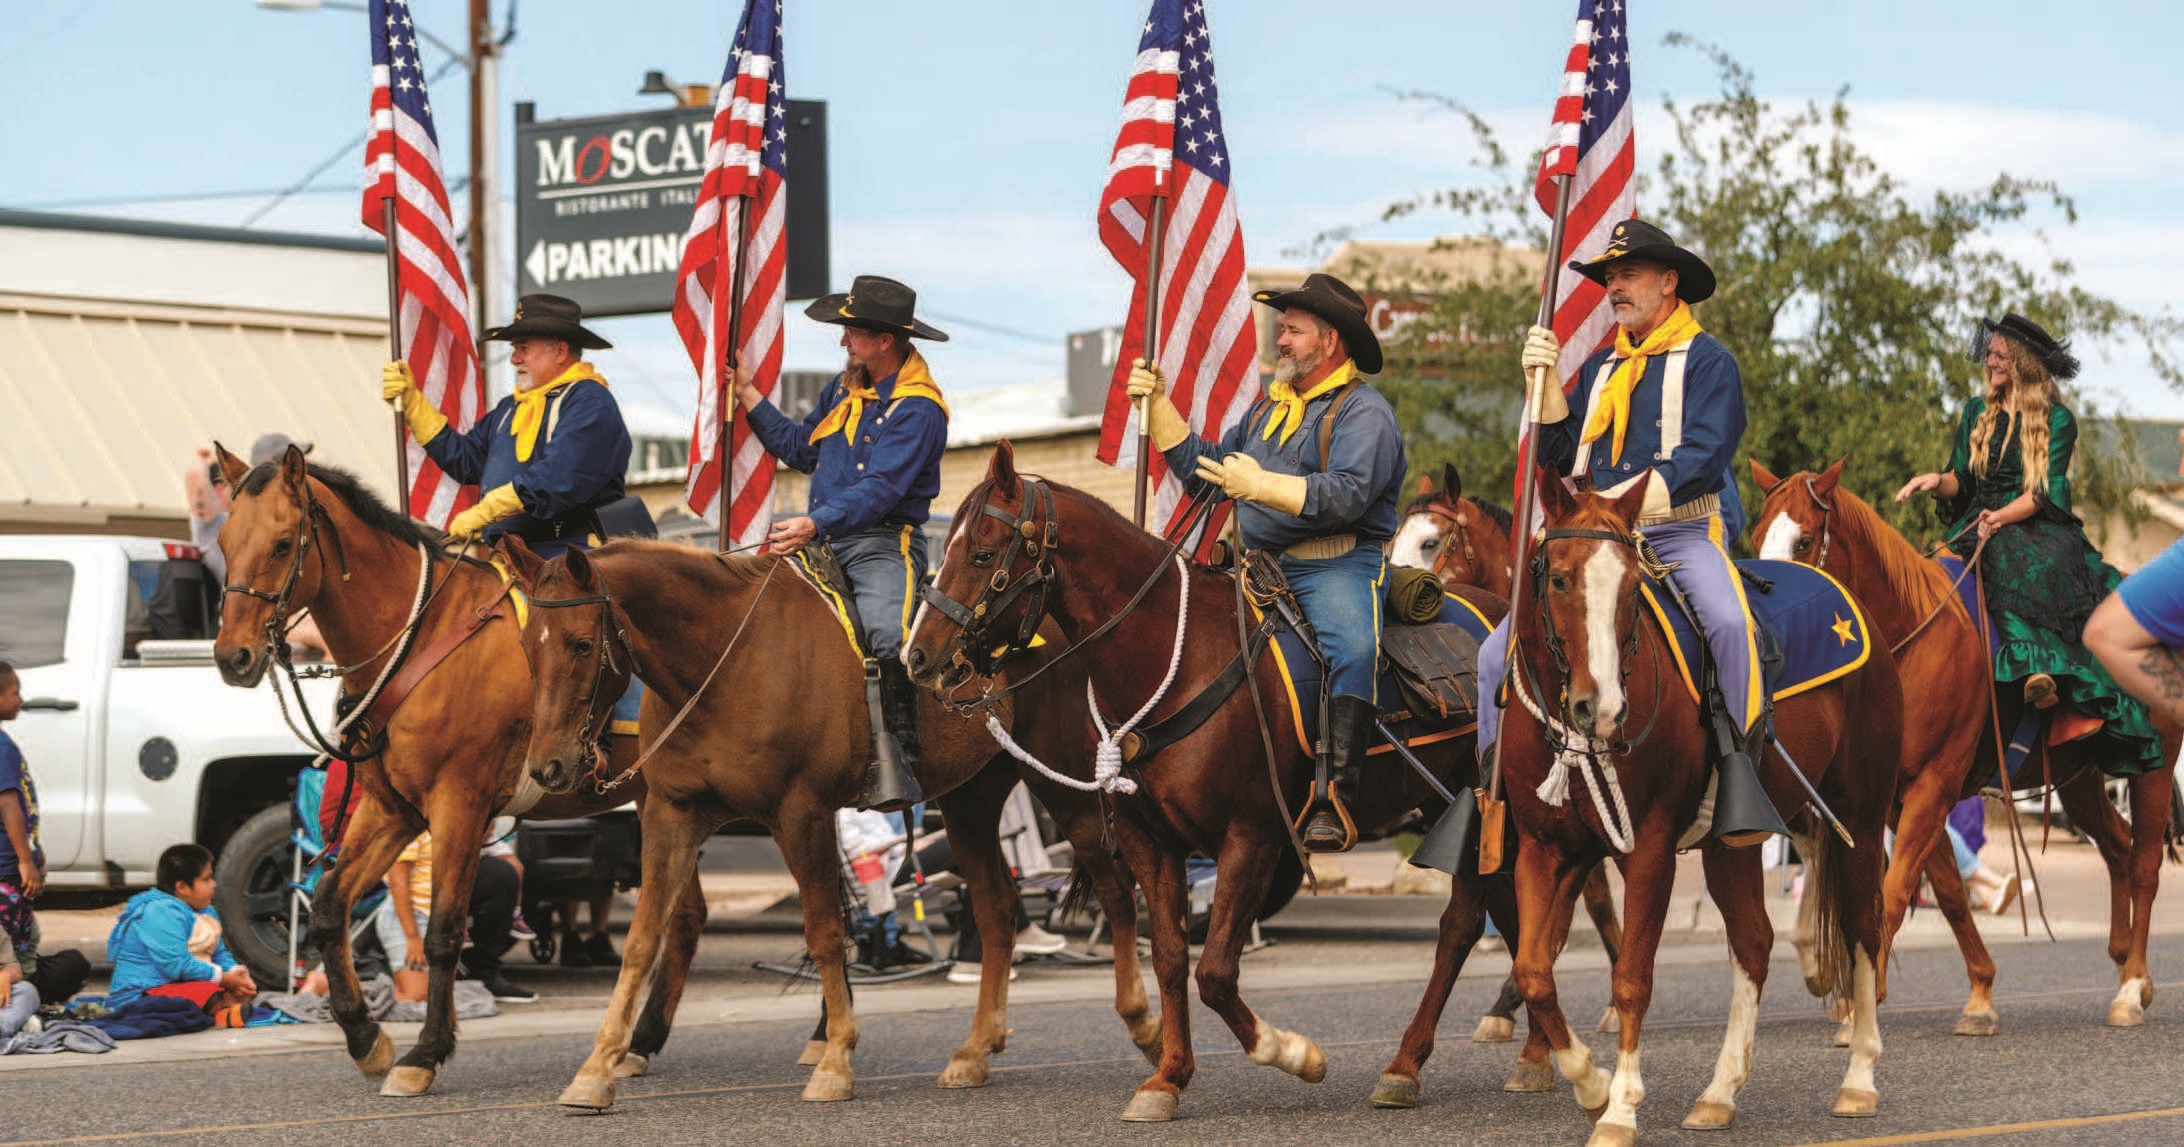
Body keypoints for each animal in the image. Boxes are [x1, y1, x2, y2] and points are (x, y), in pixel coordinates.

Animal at [206, 443, 707, 1096]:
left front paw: (425, 1052)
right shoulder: (392, 810)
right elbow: (328, 909)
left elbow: (444, 930)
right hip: (663, 801)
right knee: (687, 915)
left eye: (284, 543)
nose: (232, 657)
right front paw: (366, 1038)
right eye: (224, 542)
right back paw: (640, 1043)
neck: (422, 637)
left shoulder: (459, 806)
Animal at [502, 537, 1170, 1109]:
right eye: (528, 647)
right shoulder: (672, 815)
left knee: (1115, 892)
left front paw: (835, 1059)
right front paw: (598, 1067)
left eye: (581, 644)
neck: (726, 666)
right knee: (997, 908)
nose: (550, 766)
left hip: (1062, 782)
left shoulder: (801, 814)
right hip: (971, 801)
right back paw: (976, 1050)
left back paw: (1146, 1026)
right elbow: (643, 939)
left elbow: (824, 932)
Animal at [895, 443, 1528, 1118]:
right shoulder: (1152, 843)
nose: (919, 658)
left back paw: (1422, 1061)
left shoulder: (1251, 837)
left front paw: (1292, 1053)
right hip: (1460, 814)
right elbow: (1173, 959)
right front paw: (1167, 1076)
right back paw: (1527, 1052)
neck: (1173, 662)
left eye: (982, 554)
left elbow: (1216, 970)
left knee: (1470, 923)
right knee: (1493, 914)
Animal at [1502, 467, 1895, 1144]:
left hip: (1861, 821)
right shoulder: (1543, 847)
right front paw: (1590, 1085)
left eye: (1632, 586)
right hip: (1731, 842)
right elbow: (1533, 971)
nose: (1601, 709)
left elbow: (1631, 978)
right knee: (1755, 942)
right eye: (1559, 578)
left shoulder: (1651, 849)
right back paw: (1719, 1092)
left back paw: (1860, 1080)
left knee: (1864, 933)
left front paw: (1621, 1107)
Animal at [1755, 458, 2184, 1026]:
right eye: (1758, 536)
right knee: (2116, 844)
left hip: (2154, 766)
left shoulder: (1931, 786)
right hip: (2082, 776)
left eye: (1804, 541)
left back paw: (2132, 987)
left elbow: (1895, 891)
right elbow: (1947, 892)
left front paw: (1864, 1005)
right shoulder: (1899, 799)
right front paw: (1980, 993)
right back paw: (2125, 964)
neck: (1910, 644)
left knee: (2143, 865)